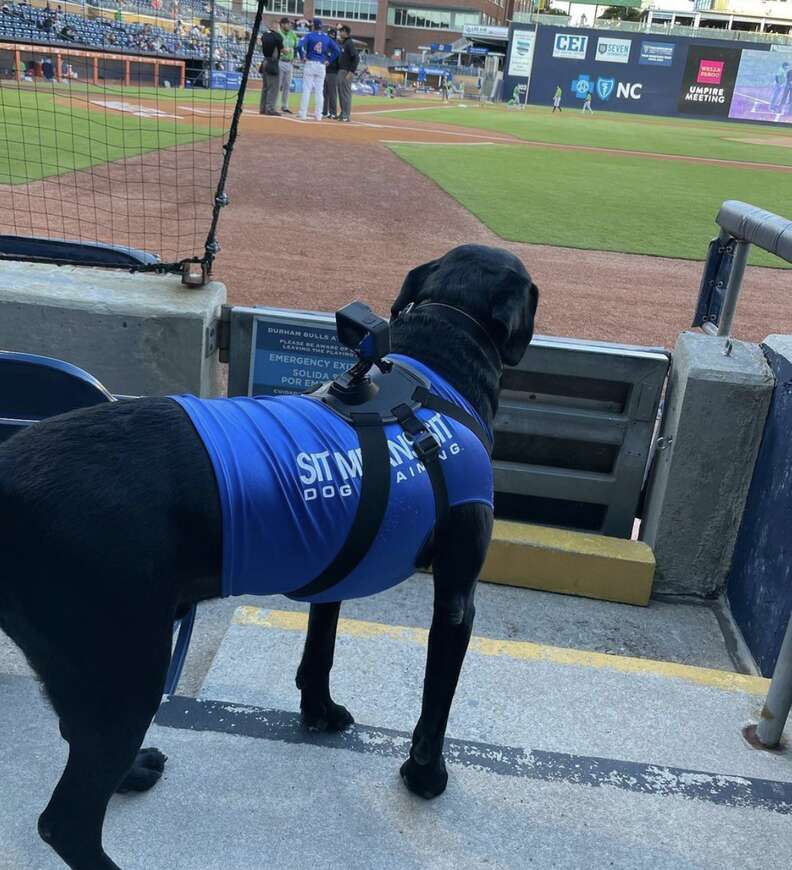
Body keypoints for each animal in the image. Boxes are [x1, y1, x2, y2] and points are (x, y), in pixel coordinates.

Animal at [0, 245, 540, 870]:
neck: (438, 363)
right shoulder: (456, 597)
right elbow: (436, 703)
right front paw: (426, 777)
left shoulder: (338, 571)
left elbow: (319, 653)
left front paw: (319, 714)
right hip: (126, 666)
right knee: (65, 820)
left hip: (90, 669)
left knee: (75, 744)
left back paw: (134, 771)